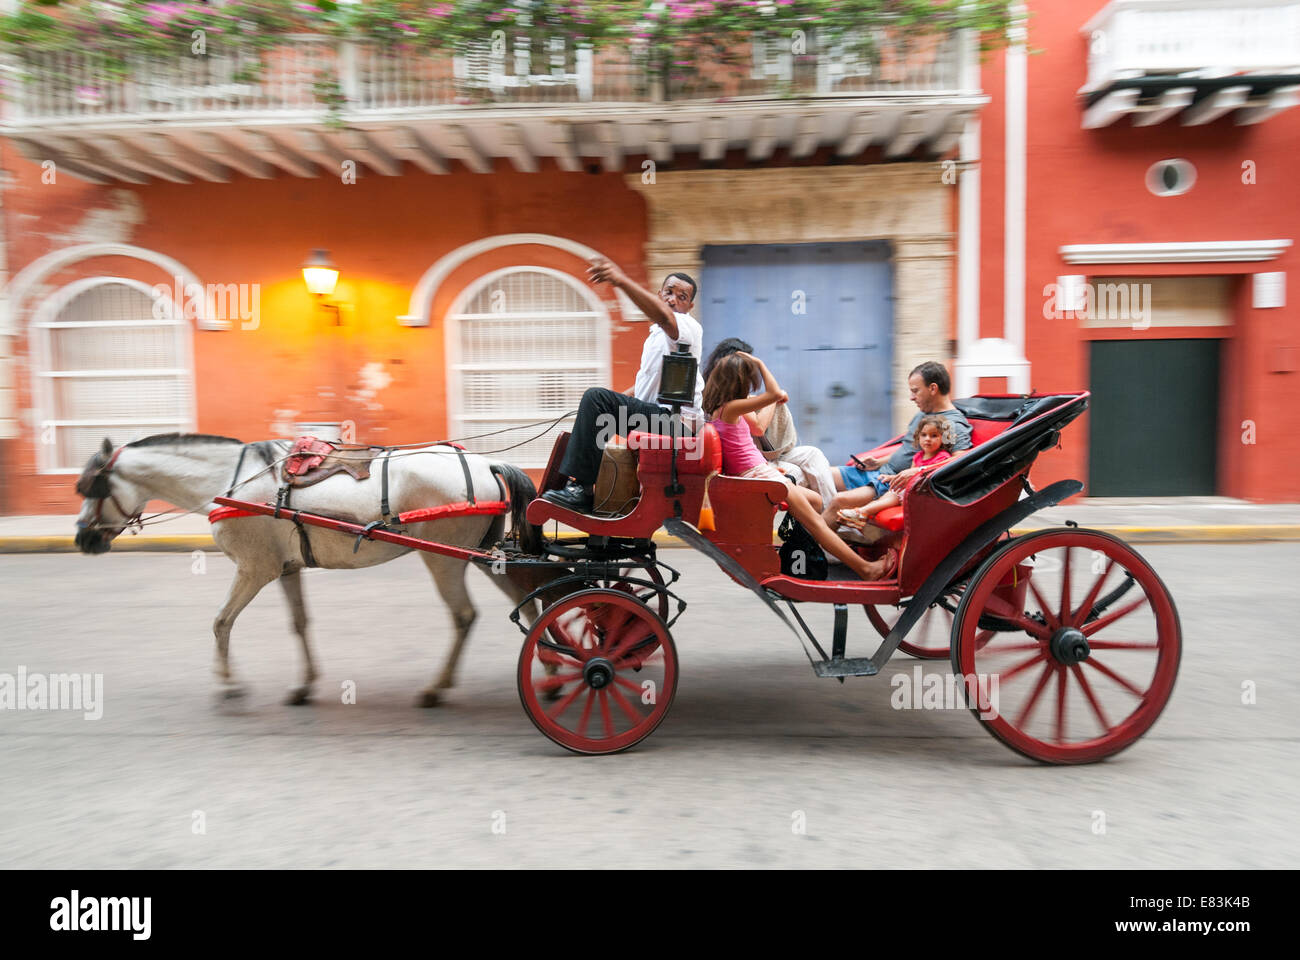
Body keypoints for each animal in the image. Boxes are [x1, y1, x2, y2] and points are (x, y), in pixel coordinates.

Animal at [72, 434, 559, 702]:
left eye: (92, 486)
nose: (82, 538)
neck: (230, 482)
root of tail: (485, 461)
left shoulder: (255, 568)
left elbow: (221, 622)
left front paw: (229, 684)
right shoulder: (285, 568)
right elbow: (300, 623)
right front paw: (304, 685)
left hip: (444, 556)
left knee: (465, 615)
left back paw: (438, 688)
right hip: (483, 552)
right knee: (526, 598)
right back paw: (552, 667)